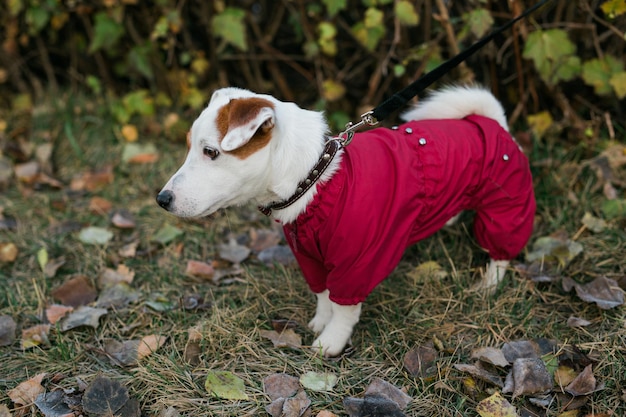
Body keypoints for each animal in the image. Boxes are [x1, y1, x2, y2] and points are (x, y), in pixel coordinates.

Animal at [156, 85, 532, 358]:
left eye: (211, 152)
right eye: (190, 147)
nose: (162, 199)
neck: (312, 180)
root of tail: (489, 122)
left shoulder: (358, 260)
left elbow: (344, 307)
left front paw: (331, 342)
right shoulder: (311, 256)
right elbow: (324, 295)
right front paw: (320, 322)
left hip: (505, 206)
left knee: (501, 252)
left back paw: (488, 285)